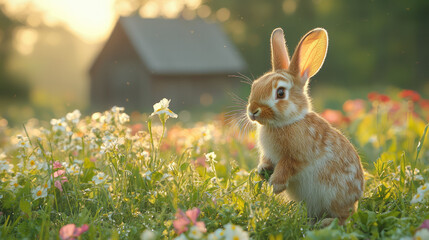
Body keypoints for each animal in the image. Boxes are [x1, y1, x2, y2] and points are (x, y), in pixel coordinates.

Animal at [246, 27, 362, 225]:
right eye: (254, 86)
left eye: (280, 93)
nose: (253, 111)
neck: (286, 122)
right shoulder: (270, 155)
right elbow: (267, 161)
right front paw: (262, 171)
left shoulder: (298, 155)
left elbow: (287, 166)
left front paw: (275, 185)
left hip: (333, 196)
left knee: (344, 218)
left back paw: (325, 223)